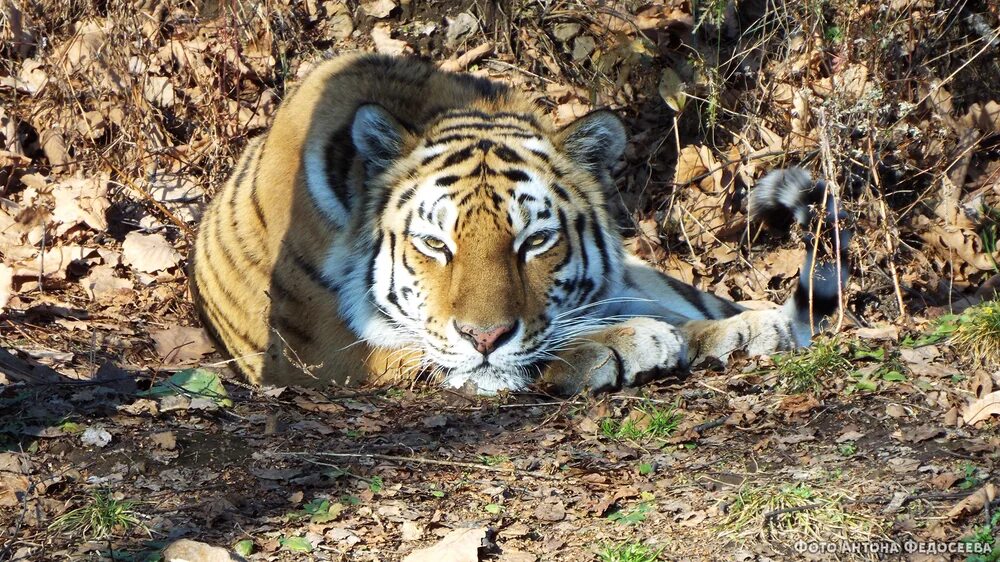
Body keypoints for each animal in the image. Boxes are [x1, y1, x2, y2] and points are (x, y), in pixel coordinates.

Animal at [193, 53, 852, 394]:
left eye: (535, 241)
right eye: (435, 244)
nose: (483, 336)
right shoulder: (329, 353)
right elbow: (475, 357)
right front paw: (621, 343)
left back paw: (750, 326)